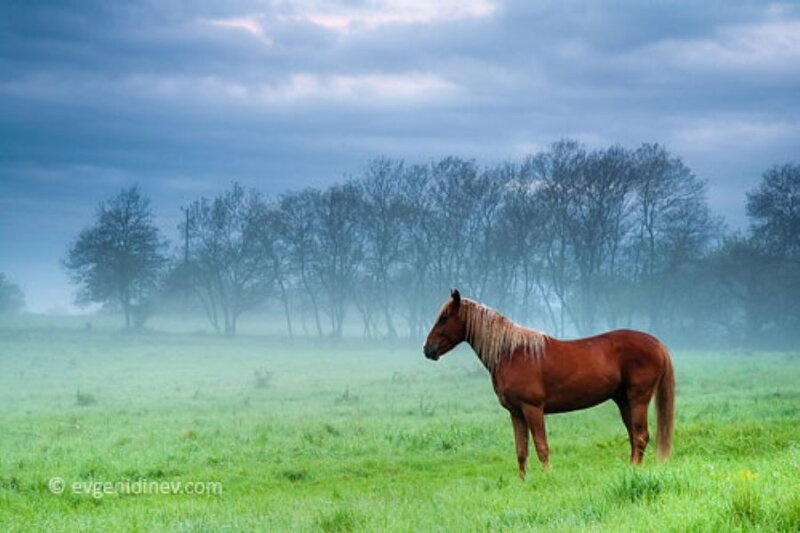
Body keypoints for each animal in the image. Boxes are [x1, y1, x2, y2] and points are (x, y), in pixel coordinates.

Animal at [423, 290, 674, 479]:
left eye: (444, 318)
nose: (428, 350)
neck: (512, 353)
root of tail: (658, 343)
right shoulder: (516, 413)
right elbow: (521, 450)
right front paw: (523, 482)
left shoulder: (533, 409)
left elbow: (541, 447)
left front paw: (547, 478)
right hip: (623, 401)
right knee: (634, 436)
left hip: (638, 398)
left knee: (640, 436)